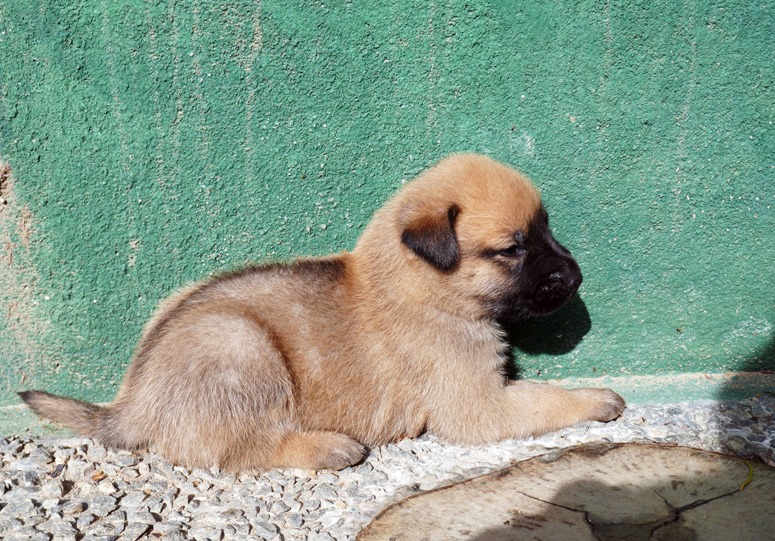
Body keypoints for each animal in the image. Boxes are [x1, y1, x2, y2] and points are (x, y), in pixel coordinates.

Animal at [19, 154, 624, 470]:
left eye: (545, 229)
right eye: (513, 248)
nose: (577, 277)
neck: (418, 283)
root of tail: (131, 403)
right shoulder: (479, 406)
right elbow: (544, 398)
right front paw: (596, 397)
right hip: (240, 345)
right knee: (242, 448)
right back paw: (328, 445)